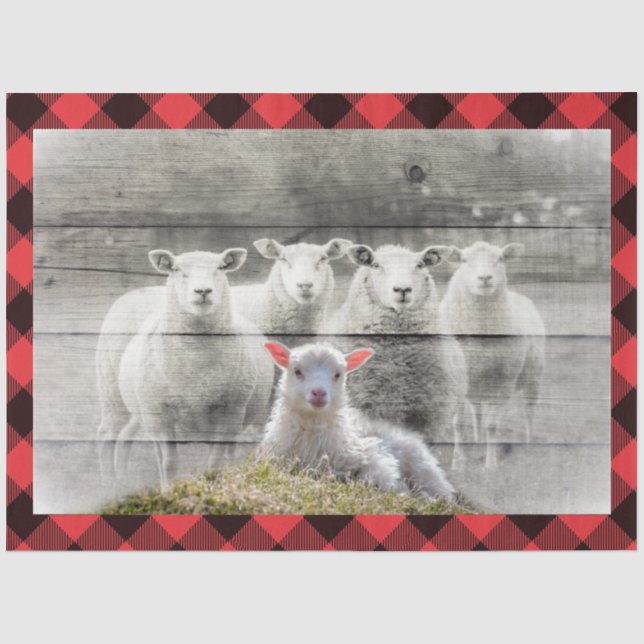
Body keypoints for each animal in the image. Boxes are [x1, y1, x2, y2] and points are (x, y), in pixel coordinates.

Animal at [96, 248, 274, 490]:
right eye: (177, 269)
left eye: (220, 268)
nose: (203, 291)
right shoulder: (161, 414)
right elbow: (170, 463)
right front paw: (169, 490)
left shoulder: (230, 411)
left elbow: (215, 461)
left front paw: (213, 486)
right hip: (116, 396)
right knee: (110, 434)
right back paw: (110, 482)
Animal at [260, 341, 455, 500]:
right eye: (297, 371)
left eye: (338, 374)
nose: (319, 393)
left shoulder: (373, 454)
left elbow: (378, 478)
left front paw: (402, 491)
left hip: (424, 469)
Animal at [438, 241, 546, 468]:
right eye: (464, 260)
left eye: (501, 258)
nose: (485, 278)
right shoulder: (458, 380)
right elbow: (458, 424)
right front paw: (458, 462)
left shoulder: (503, 381)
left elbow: (493, 425)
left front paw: (491, 464)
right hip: (476, 385)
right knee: (477, 412)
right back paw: (477, 442)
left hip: (533, 378)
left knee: (528, 411)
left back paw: (528, 443)